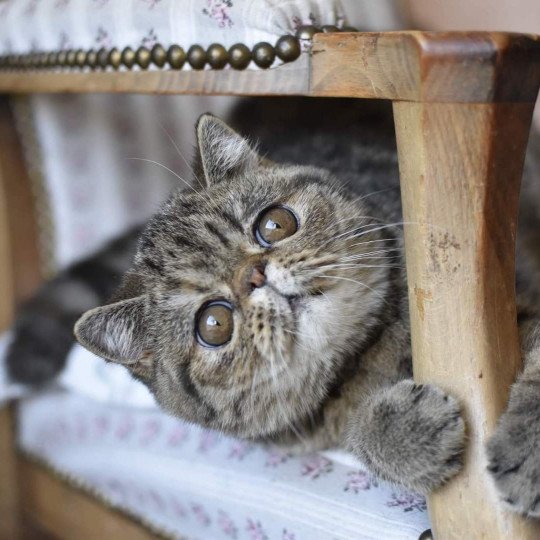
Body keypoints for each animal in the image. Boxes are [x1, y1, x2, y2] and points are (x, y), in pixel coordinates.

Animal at [7, 97, 540, 516]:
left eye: (275, 225)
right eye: (214, 323)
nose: (256, 275)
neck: (366, 359)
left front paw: (526, 452)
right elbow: (353, 434)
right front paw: (402, 432)